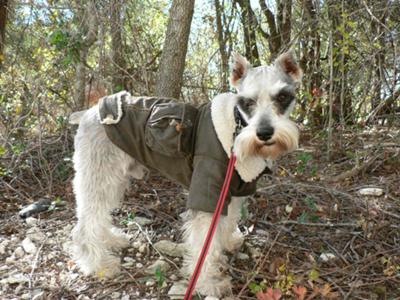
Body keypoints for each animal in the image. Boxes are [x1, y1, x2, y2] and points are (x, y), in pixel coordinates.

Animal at [70, 50, 302, 296]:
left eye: (283, 97)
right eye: (247, 102)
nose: (265, 133)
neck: (236, 130)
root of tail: (88, 112)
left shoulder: (233, 190)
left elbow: (227, 223)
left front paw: (227, 243)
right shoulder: (207, 195)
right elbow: (204, 244)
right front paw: (208, 283)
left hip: (113, 181)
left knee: (98, 216)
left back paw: (112, 240)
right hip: (99, 176)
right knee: (84, 227)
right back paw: (100, 265)